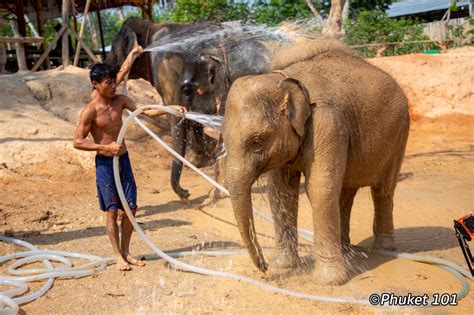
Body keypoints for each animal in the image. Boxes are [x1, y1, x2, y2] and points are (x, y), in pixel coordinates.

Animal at [222, 42, 412, 286]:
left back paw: (383, 249)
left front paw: (327, 282)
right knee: (345, 192)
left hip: (400, 133)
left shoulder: (327, 123)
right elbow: (282, 192)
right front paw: (283, 265)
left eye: (256, 141)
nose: (264, 269)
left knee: (382, 191)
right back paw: (345, 249)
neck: (283, 79)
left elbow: (319, 189)